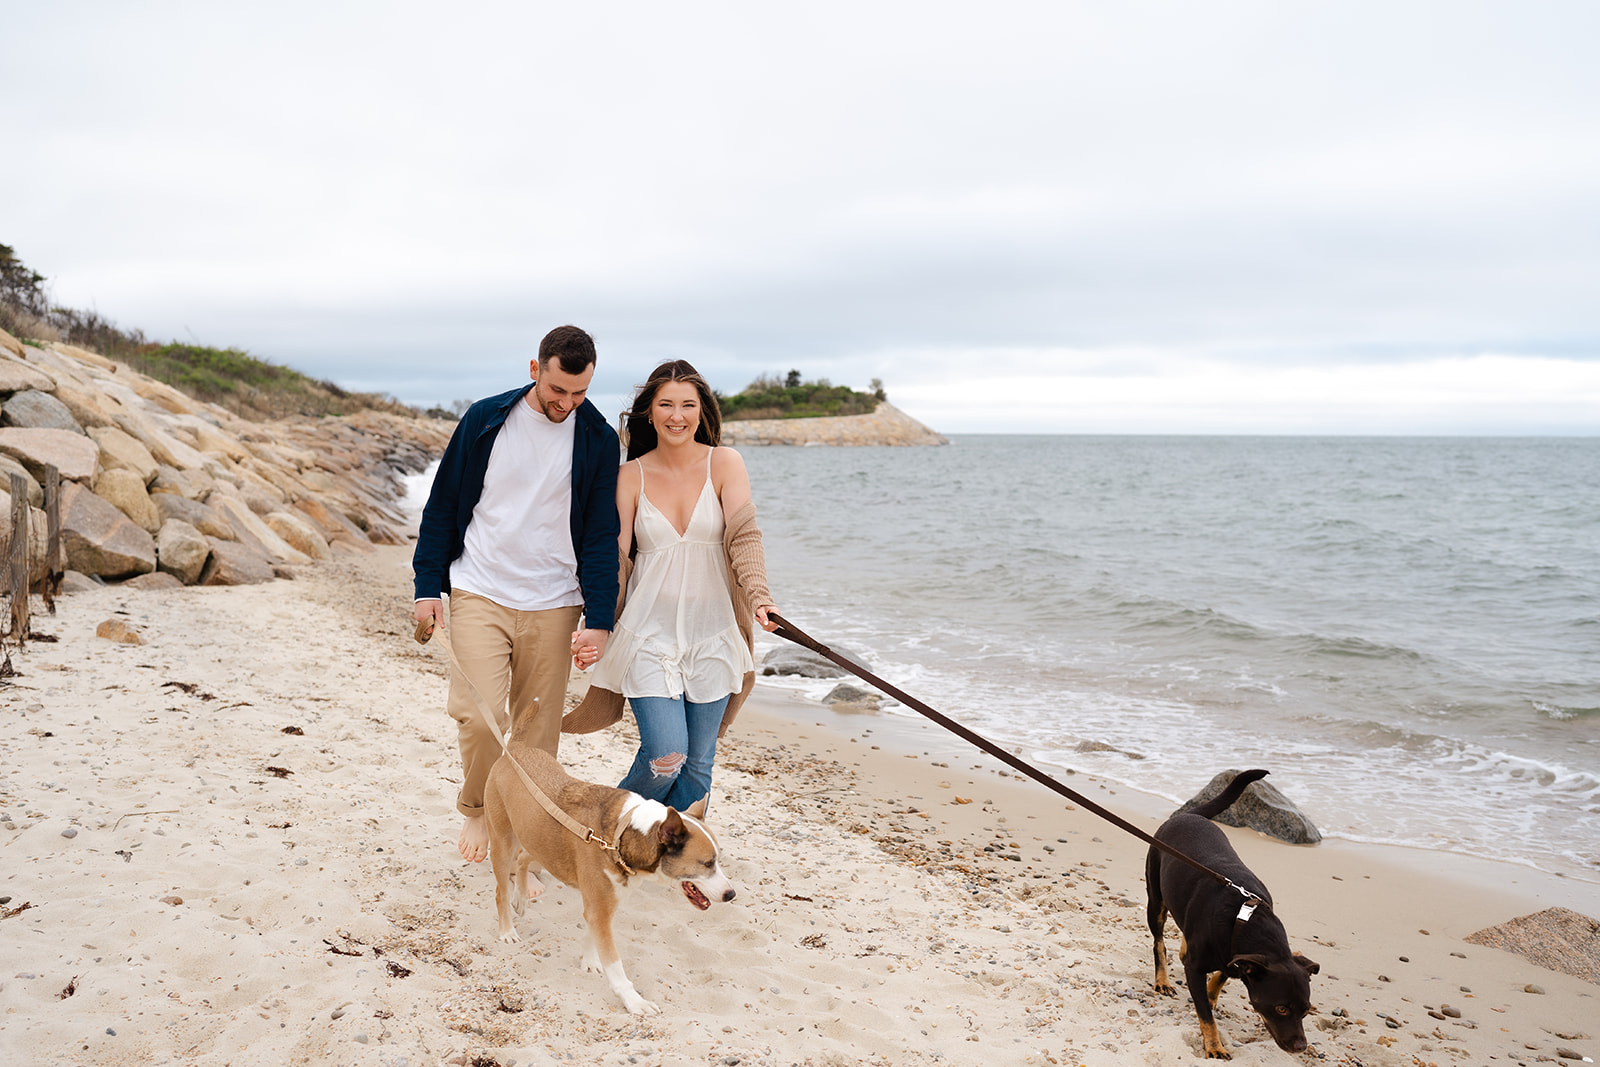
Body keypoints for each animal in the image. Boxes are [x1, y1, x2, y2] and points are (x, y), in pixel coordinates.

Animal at [480, 735, 736, 1017]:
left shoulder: (602, 906)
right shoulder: (600, 908)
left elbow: (591, 934)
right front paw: (634, 1001)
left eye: (717, 860)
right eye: (707, 863)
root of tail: (515, 748)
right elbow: (615, 964)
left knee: (524, 858)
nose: (731, 894)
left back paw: (522, 898)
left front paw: (590, 961)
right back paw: (507, 929)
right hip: (503, 840)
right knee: (500, 889)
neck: (621, 835)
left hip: (540, 842)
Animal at [1145, 767, 1318, 1062]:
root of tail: (1188, 815)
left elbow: (1223, 975)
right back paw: (1162, 980)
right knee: (1158, 942)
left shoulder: (1235, 955)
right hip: (1155, 901)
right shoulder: (1196, 967)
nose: (1300, 1047)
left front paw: (1211, 994)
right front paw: (1214, 1046)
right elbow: (1206, 1016)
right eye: (1281, 1008)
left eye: (1306, 1010)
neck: (1247, 917)